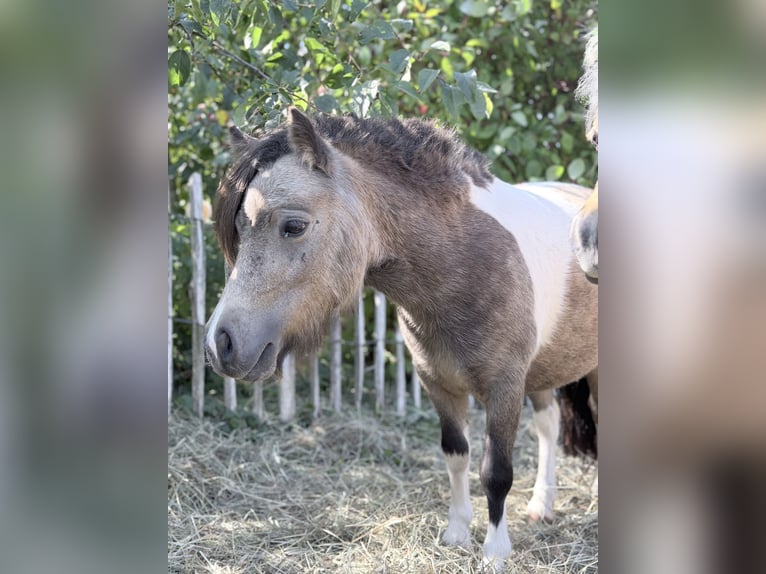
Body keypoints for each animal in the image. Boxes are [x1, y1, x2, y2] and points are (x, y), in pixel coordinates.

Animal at [204, 108, 598, 568]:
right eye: (238, 228)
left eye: (294, 226)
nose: (220, 343)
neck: (465, 261)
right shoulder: (438, 384)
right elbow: (456, 455)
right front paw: (457, 534)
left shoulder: (504, 388)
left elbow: (496, 473)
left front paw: (495, 553)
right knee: (549, 427)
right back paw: (541, 507)